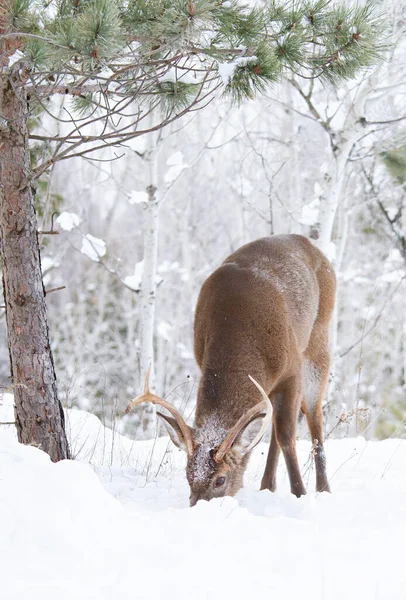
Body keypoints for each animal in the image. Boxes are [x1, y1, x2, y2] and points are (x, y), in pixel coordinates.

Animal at [125, 234, 334, 506]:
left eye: (220, 479)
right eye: (188, 476)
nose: (197, 508)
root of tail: (308, 242)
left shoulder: (292, 369)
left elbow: (287, 435)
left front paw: (300, 494)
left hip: (318, 340)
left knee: (313, 416)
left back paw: (323, 489)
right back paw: (267, 486)